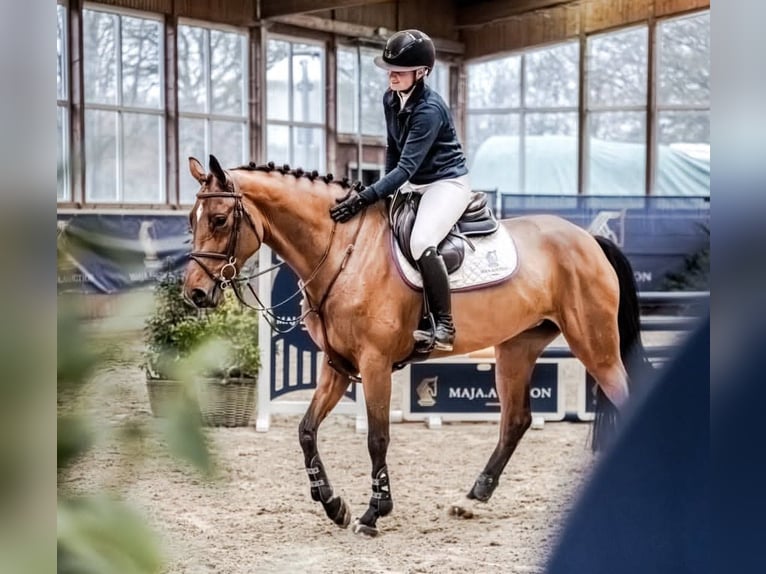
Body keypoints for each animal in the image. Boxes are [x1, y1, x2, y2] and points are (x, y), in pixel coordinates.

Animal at [183, 154, 649, 537]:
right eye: (191, 219)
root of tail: (588, 240)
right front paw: (333, 504)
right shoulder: (337, 365)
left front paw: (374, 512)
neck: (343, 251)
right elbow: (306, 430)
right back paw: (472, 499)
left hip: (596, 348)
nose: (195, 293)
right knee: (515, 421)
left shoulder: (373, 364)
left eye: (220, 219)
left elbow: (377, 437)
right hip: (517, 348)